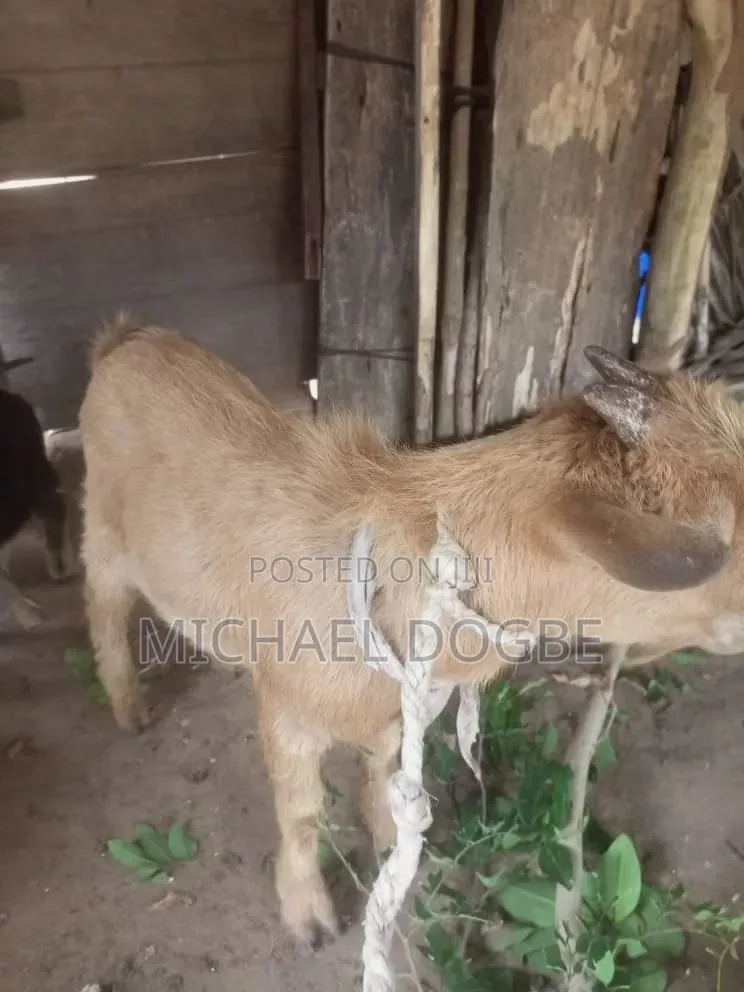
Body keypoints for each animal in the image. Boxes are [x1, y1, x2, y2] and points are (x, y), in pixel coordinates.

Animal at [78, 316, 744, 947]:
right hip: (101, 533)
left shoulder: (396, 705)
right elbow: (302, 814)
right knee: (104, 611)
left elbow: (382, 764)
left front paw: (388, 837)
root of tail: (126, 338)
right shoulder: (290, 717)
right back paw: (130, 709)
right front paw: (309, 914)